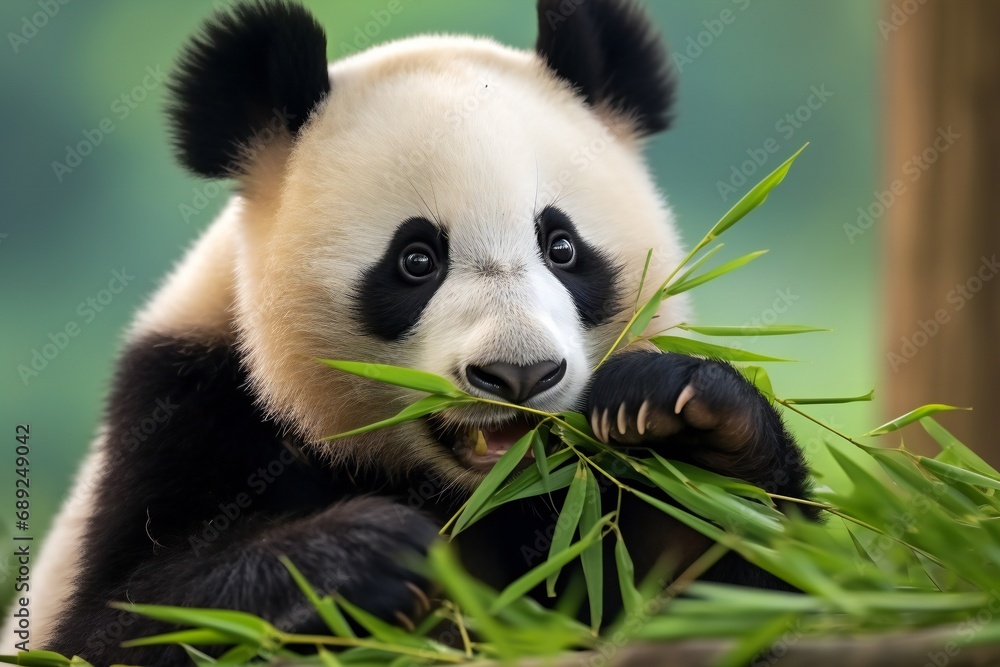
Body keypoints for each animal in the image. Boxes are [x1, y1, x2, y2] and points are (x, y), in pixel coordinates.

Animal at [8, 1, 812, 665]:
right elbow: (111, 627)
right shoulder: (186, 405)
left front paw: (686, 419)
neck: (467, 490)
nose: (518, 374)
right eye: (416, 260)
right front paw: (367, 558)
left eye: (562, 248)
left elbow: (742, 599)